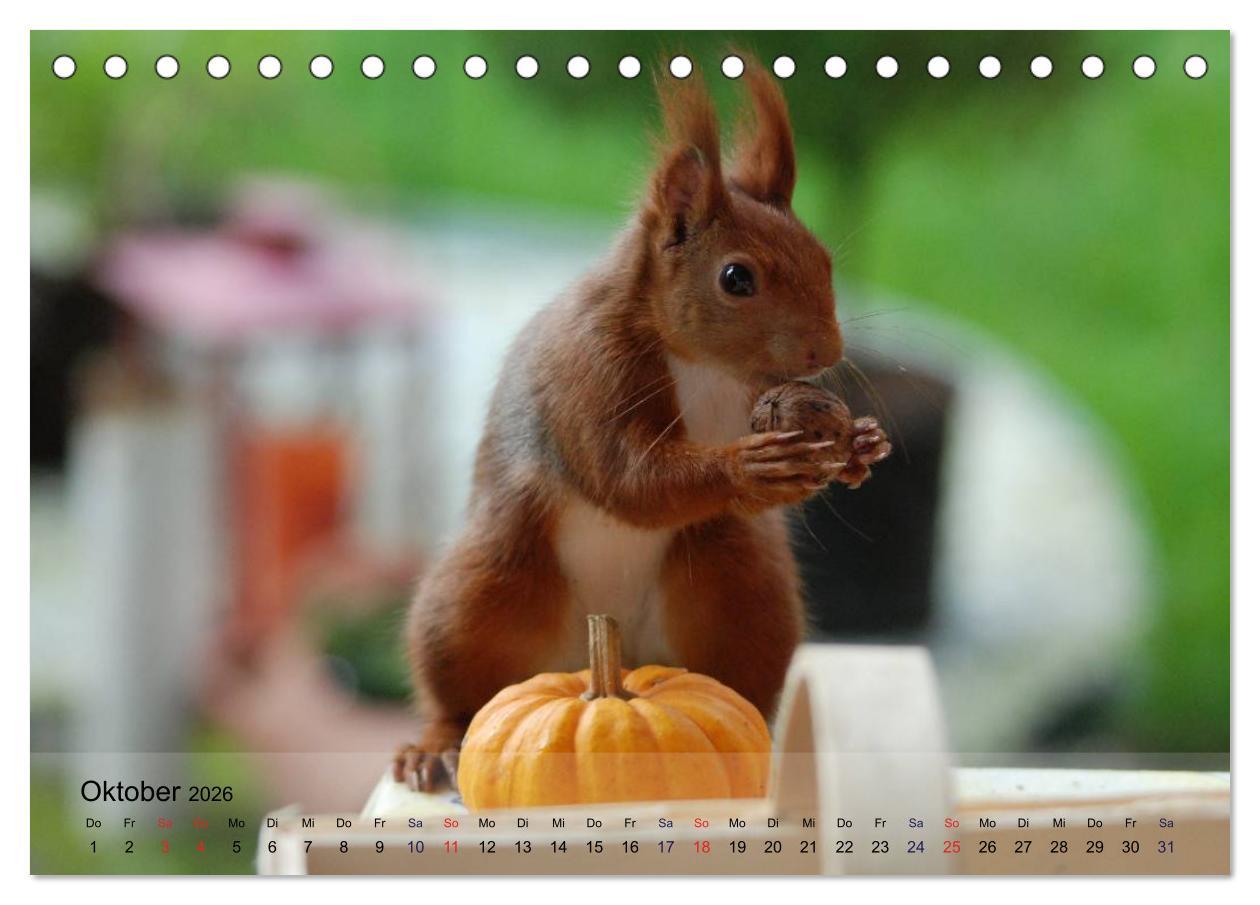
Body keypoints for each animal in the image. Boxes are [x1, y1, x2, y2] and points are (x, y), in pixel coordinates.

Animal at [394, 60, 891, 791]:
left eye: (823, 258)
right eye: (736, 278)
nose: (825, 352)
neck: (701, 362)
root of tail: (604, 652)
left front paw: (858, 445)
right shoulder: (588, 371)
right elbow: (627, 478)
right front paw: (748, 467)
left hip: (742, 588)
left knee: (742, 676)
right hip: (482, 590)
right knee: (456, 689)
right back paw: (433, 744)